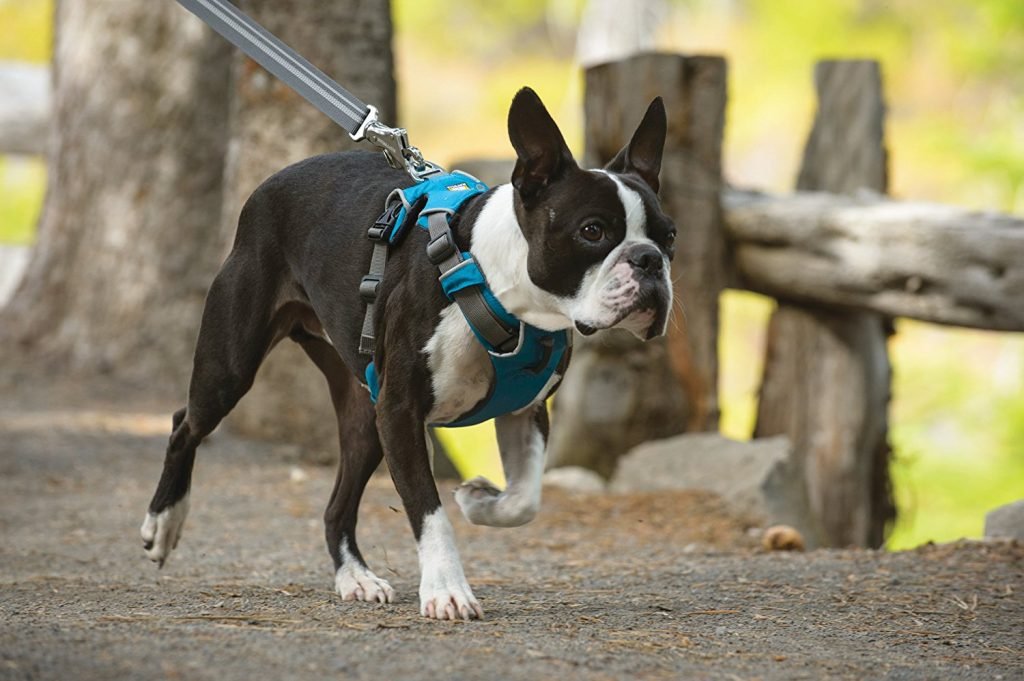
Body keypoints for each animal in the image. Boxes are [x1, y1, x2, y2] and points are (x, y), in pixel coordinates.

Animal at [140, 87, 675, 618]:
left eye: (669, 236)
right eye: (592, 231)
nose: (648, 260)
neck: (499, 290)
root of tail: (271, 182)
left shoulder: (524, 411)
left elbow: (525, 499)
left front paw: (479, 500)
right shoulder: (400, 413)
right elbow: (429, 511)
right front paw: (447, 590)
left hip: (365, 414)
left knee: (336, 507)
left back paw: (355, 578)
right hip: (232, 367)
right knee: (184, 424)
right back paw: (164, 522)